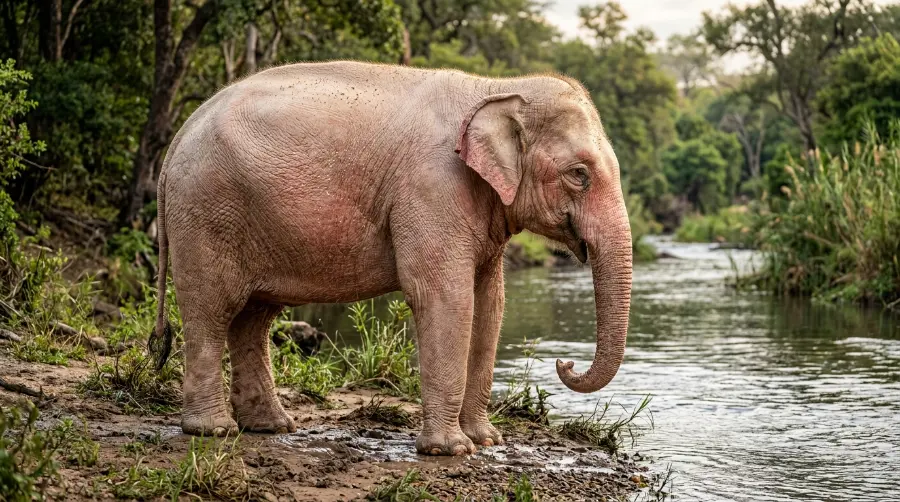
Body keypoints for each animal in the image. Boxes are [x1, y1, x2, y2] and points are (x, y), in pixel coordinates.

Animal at [150, 61, 632, 456]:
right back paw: (213, 431)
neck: (497, 87)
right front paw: (450, 450)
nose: (564, 363)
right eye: (579, 175)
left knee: (253, 317)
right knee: (213, 308)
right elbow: (445, 298)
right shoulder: (430, 188)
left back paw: (271, 427)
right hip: (206, 212)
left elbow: (490, 306)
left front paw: (487, 441)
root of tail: (175, 140)